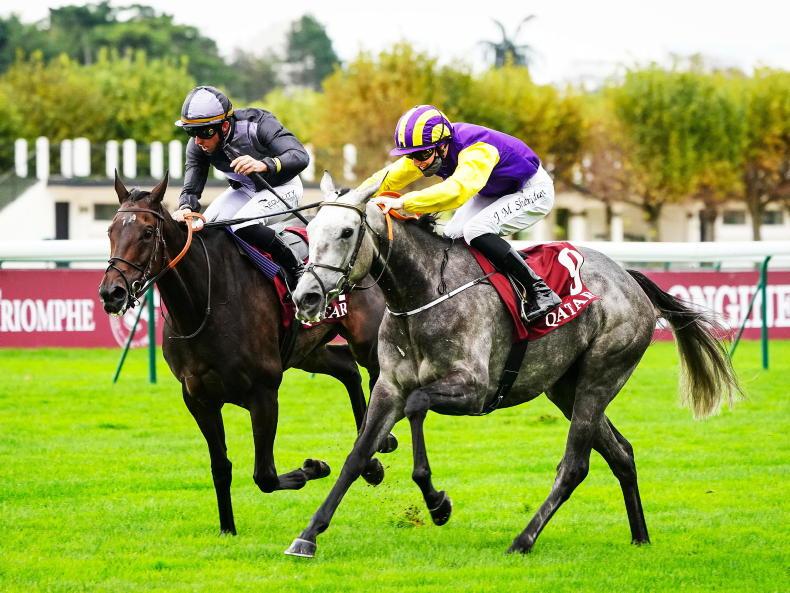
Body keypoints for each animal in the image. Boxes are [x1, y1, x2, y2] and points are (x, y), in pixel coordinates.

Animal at [98, 172, 395, 536]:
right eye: (111, 231)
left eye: (147, 232)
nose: (112, 292)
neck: (205, 303)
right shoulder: (198, 398)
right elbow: (220, 466)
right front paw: (228, 528)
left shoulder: (263, 392)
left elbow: (265, 475)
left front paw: (314, 467)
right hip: (304, 351)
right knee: (347, 368)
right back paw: (371, 462)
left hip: (367, 341)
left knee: (374, 375)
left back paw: (379, 444)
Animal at [283, 172, 742, 558]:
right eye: (311, 229)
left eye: (347, 231)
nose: (305, 296)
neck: (424, 293)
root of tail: (629, 278)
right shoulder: (389, 387)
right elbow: (358, 453)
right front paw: (308, 535)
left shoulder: (473, 389)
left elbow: (416, 407)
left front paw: (437, 502)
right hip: (565, 387)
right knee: (622, 454)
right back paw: (640, 536)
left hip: (600, 377)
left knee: (575, 466)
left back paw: (523, 540)